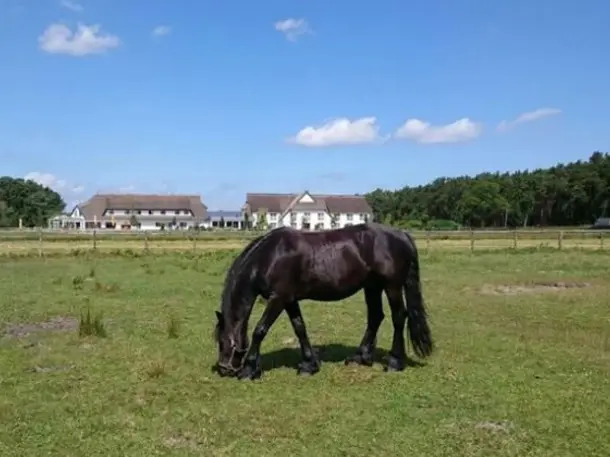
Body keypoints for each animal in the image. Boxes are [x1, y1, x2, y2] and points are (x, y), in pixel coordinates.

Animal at [214, 223, 432, 380]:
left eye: (222, 342)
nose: (224, 369)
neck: (271, 256)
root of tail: (402, 235)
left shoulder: (279, 298)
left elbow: (260, 330)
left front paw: (249, 370)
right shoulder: (289, 300)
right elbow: (299, 328)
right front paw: (309, 365)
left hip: (392, 286)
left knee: (399, 317)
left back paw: (395, 362)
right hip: (372, 287)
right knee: (375, 317)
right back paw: (360, 357)